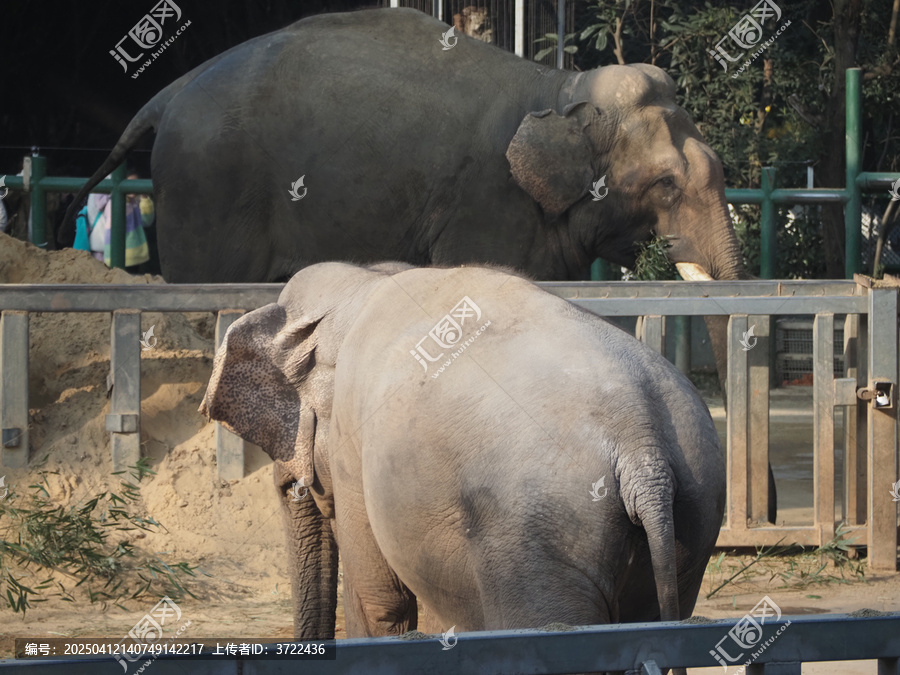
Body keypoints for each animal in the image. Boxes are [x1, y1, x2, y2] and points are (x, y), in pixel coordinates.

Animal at [199, 261, 726, 672]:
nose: (295, 484)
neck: (366, 279)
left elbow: (378, 599)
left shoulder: (354, 446)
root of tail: (641, 441)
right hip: (692, 515)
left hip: (537, 535)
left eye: (291, 485)